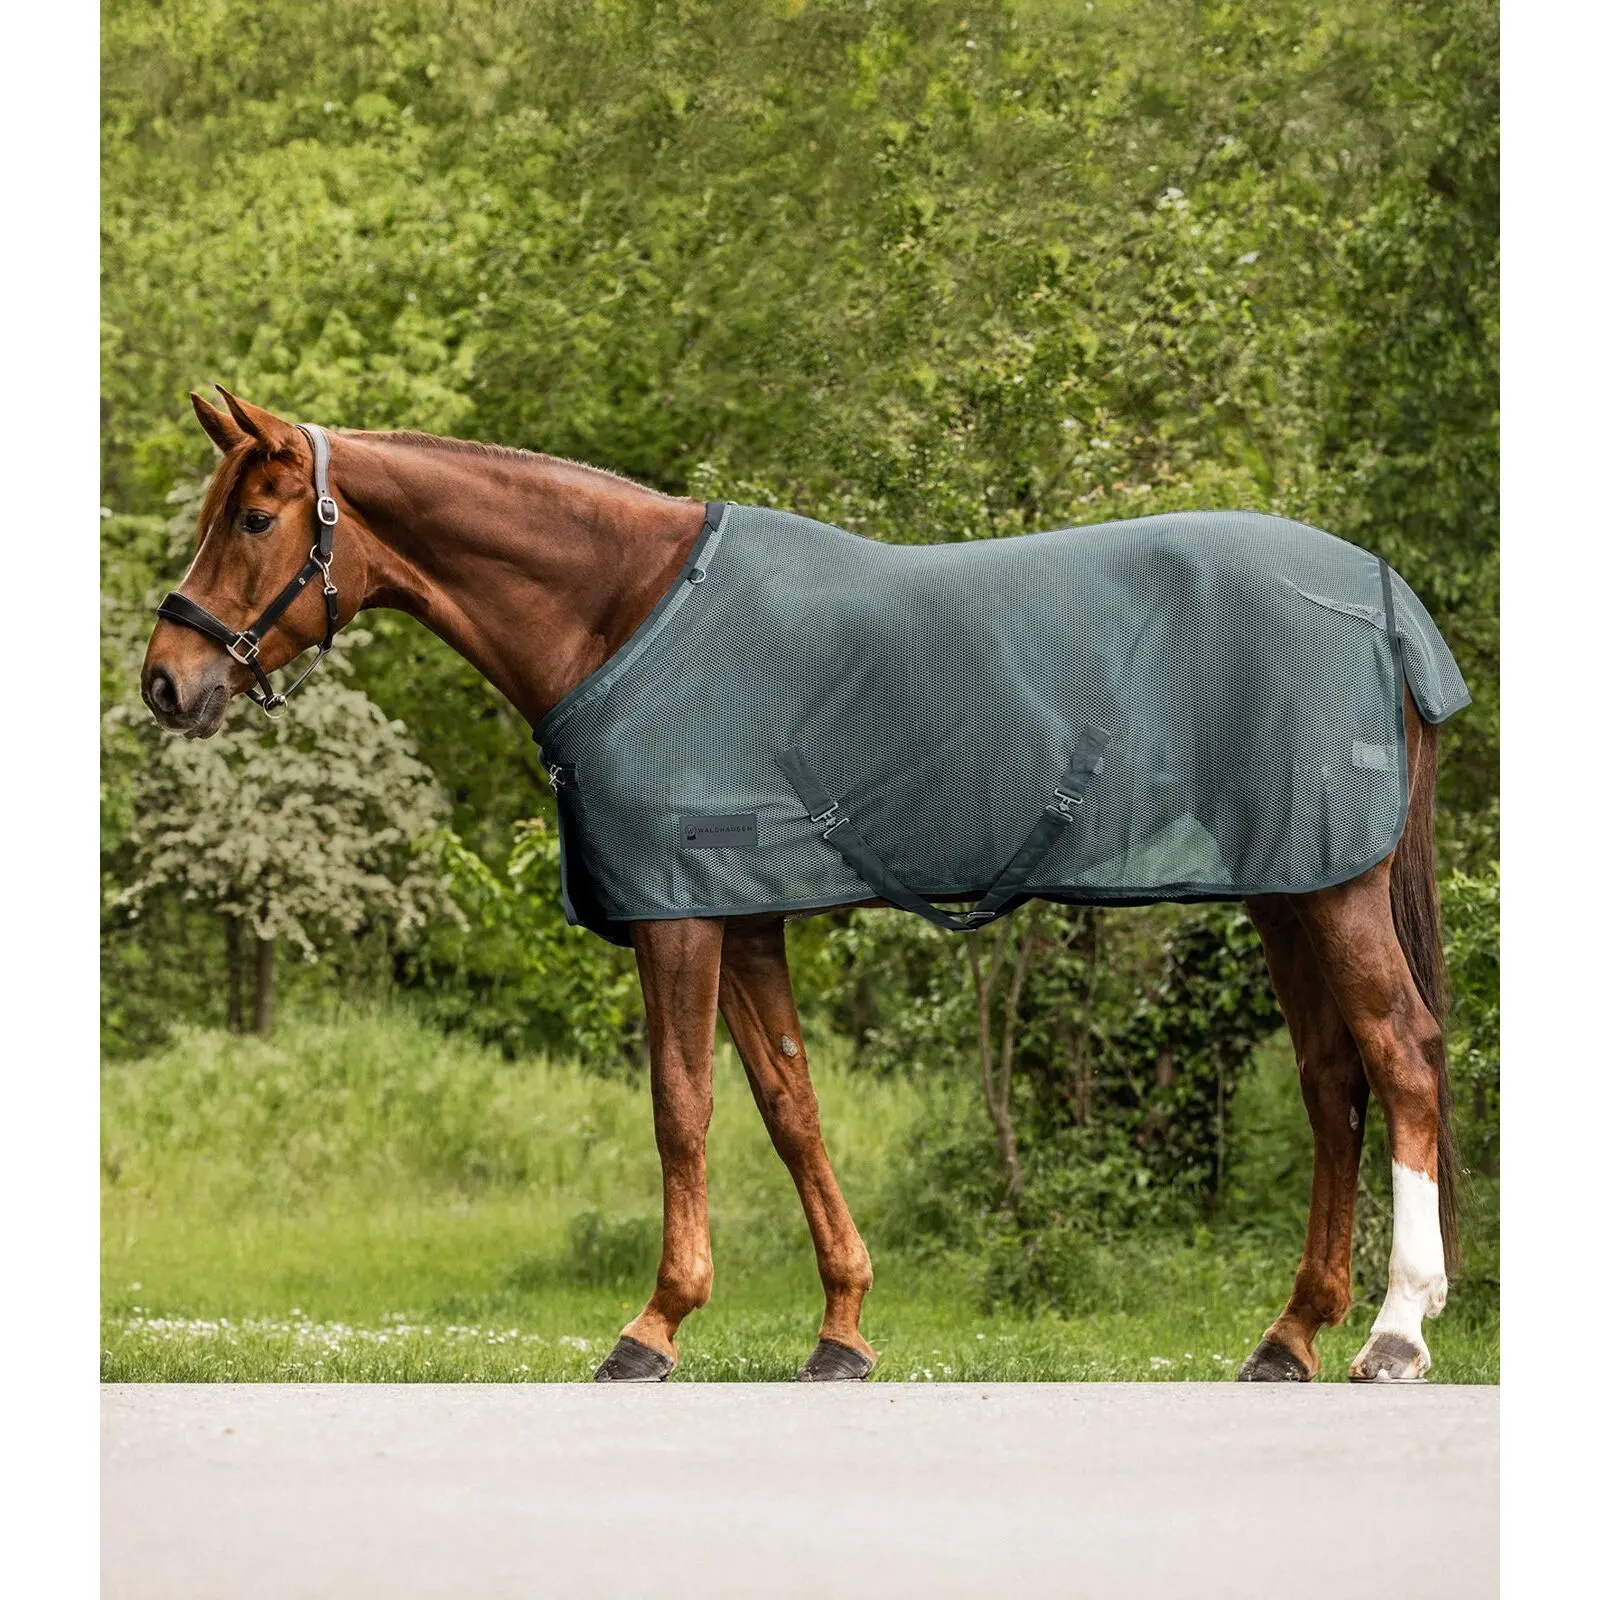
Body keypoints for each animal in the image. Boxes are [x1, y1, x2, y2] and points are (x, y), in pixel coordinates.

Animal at [141, 387, 1460, 1385]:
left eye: (253, 516)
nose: (164, 680)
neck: (625, 614)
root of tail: (1385, 599)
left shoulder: (680, 915)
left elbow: (681, 1108)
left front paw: (654, 1325)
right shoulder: (749, 918)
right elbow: (791, 1107)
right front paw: (841, 1329)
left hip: (1332, 890)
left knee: (1398, 1054)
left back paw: (1394, 1330)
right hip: (1290, 887)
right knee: (1330, 1080)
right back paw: (1289, 1335)